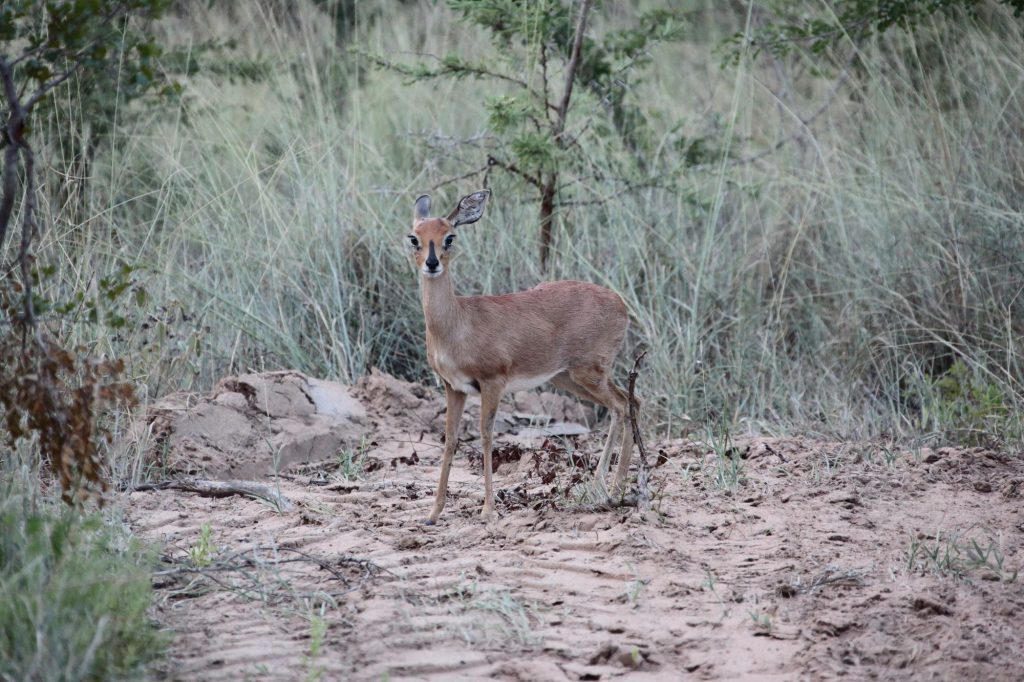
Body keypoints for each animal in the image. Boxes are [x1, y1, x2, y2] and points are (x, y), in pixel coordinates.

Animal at [405, 188, 630, 522]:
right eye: (414, 238)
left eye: (449, 237)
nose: (432, 264)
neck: (458, 322)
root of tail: (621, 303)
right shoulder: (454, 387)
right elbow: (450, 440)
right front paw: (433, 512)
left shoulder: (492, 383)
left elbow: (486, 437)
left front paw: (488, 510)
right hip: (569, 378)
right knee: (630, 402)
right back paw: (615, 487)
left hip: (589, 373)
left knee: (622, 404)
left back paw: (611, 489)